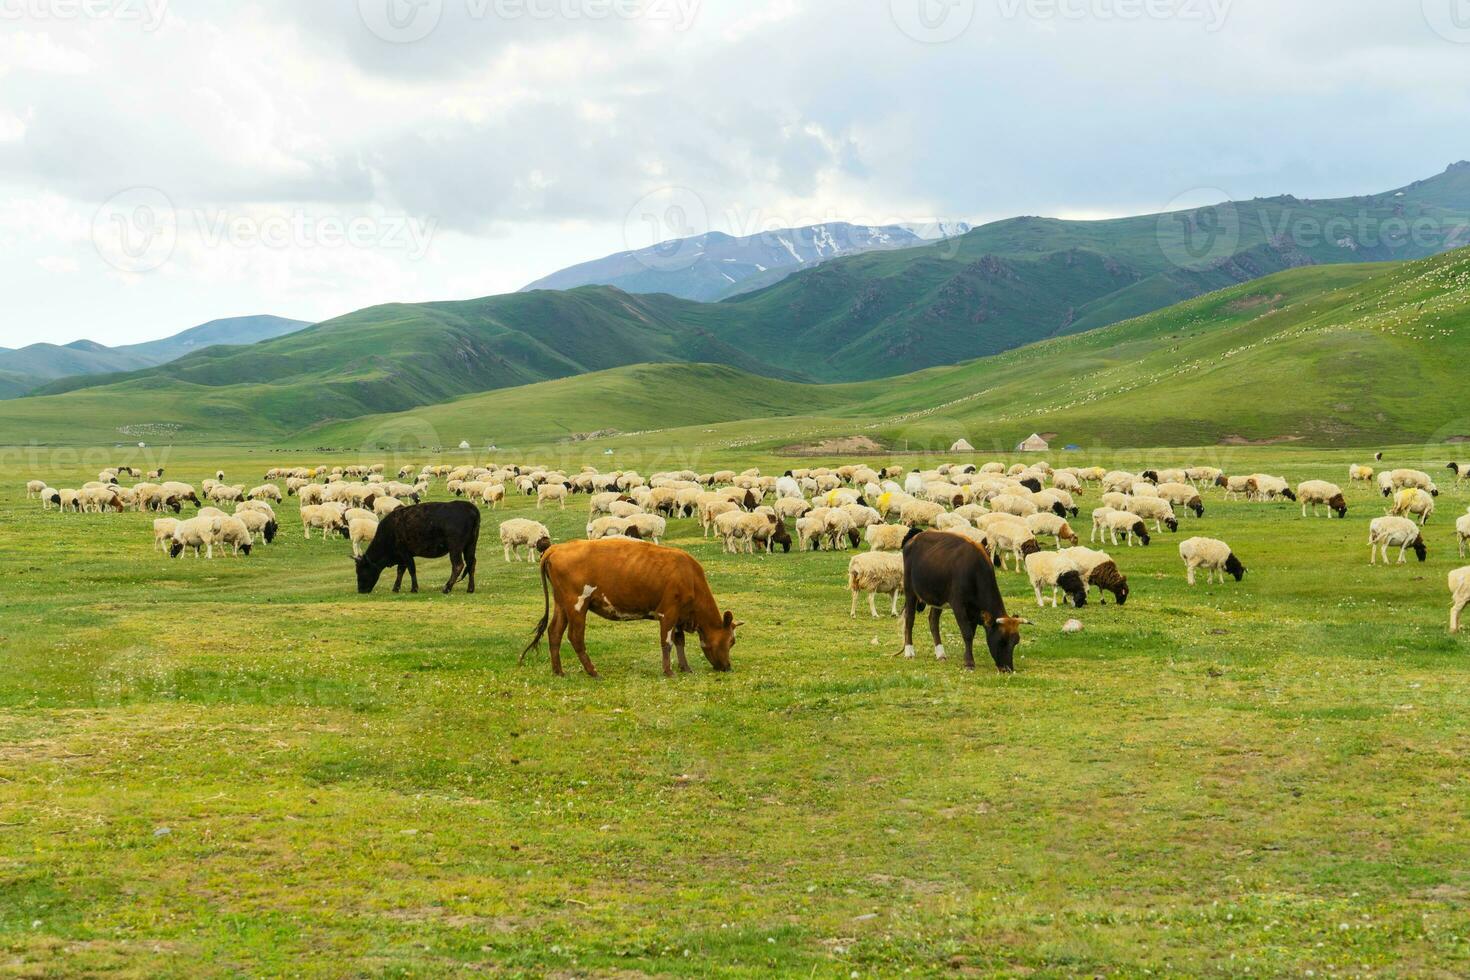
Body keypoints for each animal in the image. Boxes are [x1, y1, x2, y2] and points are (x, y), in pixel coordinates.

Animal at [523, 540, 740, 678]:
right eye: (731, 641)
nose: (728, 667)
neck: (690, 577)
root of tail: (556, 548)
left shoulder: (680, 615)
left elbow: (680, 641)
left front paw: (685, 668)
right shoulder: (668, 612)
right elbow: (667, 642)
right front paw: (669, 671)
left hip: (562, 605)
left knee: (555, 633)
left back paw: (558, 671)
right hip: (577, 605)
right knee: (575, 637)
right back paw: (593, 672)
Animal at [899, 528, 1029, 675]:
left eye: (1016, 641)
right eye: (1001, 640)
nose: (1008, 668)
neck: (974, 570)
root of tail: (915, 537)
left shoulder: (974, 611)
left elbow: (971, 634)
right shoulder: (958, 605)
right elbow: (967, 633)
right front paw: (969, 662)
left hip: (937, 598)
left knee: (933, 621)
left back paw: (940, 653)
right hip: (910, 590)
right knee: (910, 619)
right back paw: (909, 651)